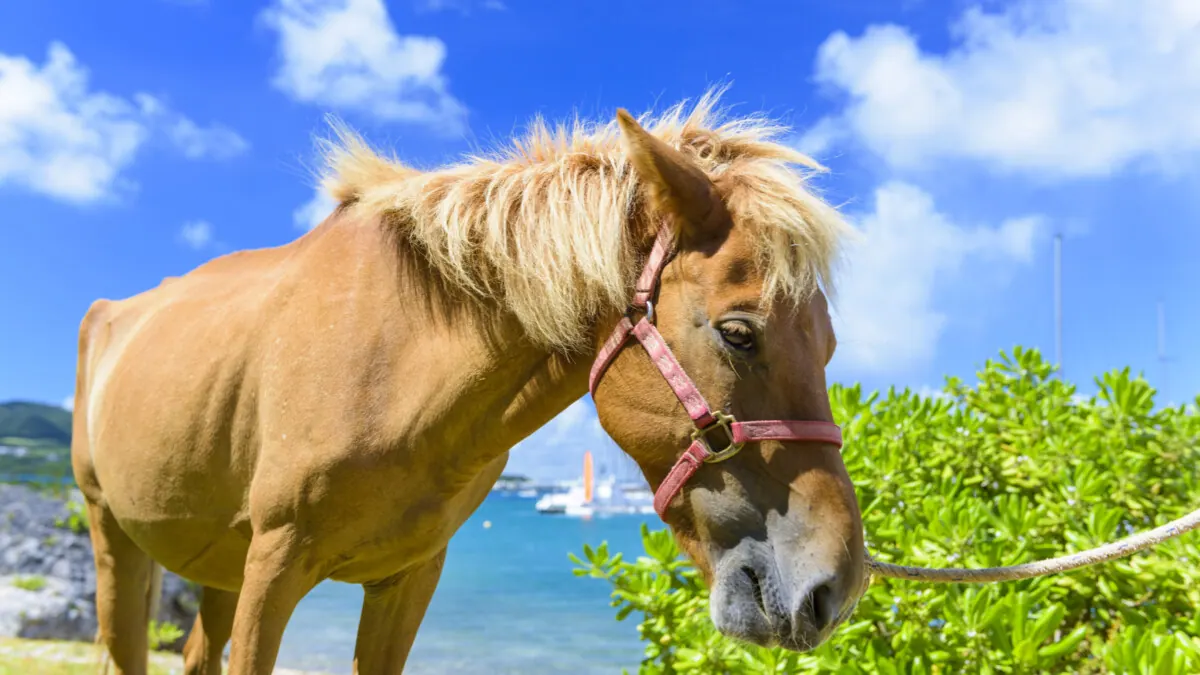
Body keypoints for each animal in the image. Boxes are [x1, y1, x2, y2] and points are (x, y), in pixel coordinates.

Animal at [70, 89, 866, 674]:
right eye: (739, 333)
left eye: (830, 344)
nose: (834, 586)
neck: (395, 365)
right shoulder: (274, 569)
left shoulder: (407, 580)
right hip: (116, 538)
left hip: (216, 572)